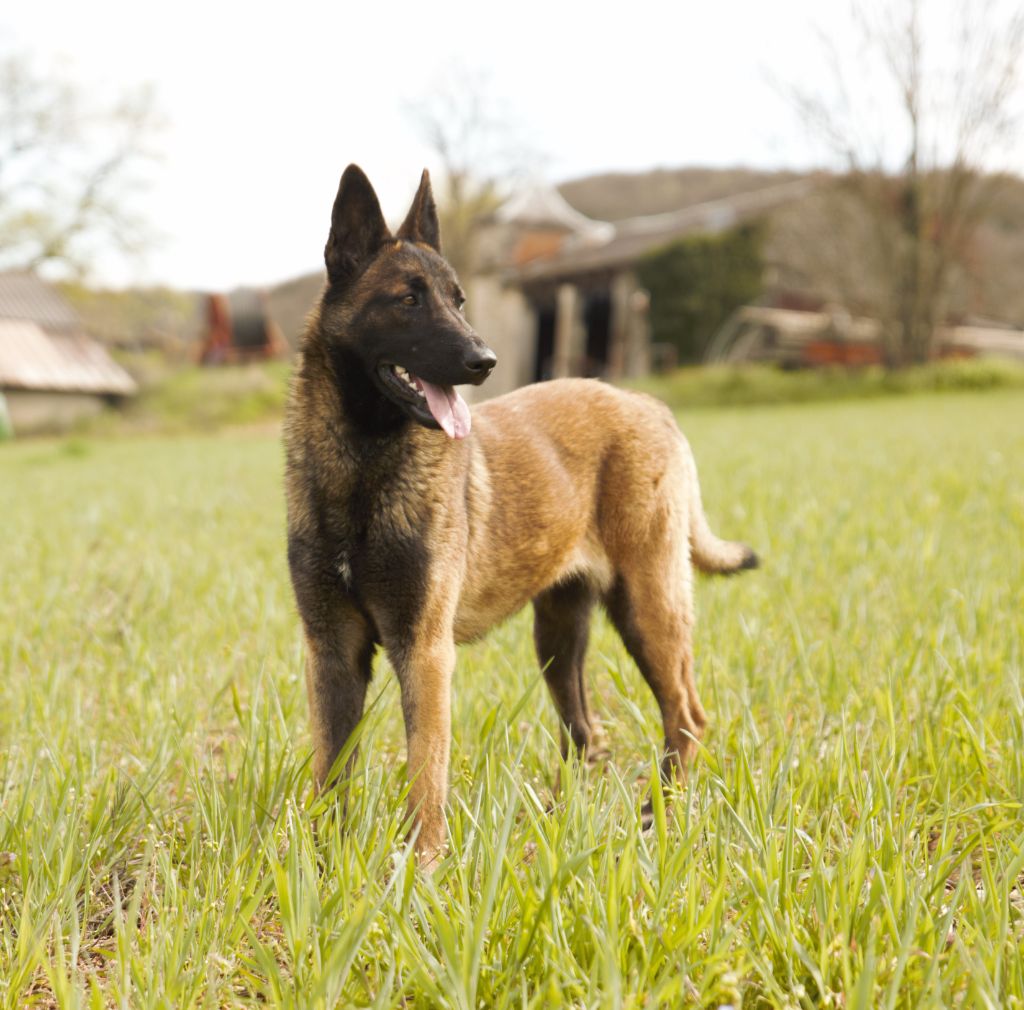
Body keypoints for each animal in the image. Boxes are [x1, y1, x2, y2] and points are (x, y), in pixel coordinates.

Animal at [284, 163, 757, 856]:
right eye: (408, 300)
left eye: (457, 300)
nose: (484, 361)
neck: (364, 473)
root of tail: (649, 404)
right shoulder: (333, 653)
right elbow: (329, 776)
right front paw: (320, 864)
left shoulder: (424, 651)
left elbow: (425, 776)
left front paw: (421, 869)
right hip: (558, 639)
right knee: (588, 734)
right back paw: (564, 822)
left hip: (647, 609)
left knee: (686, 716)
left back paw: (658, 819)